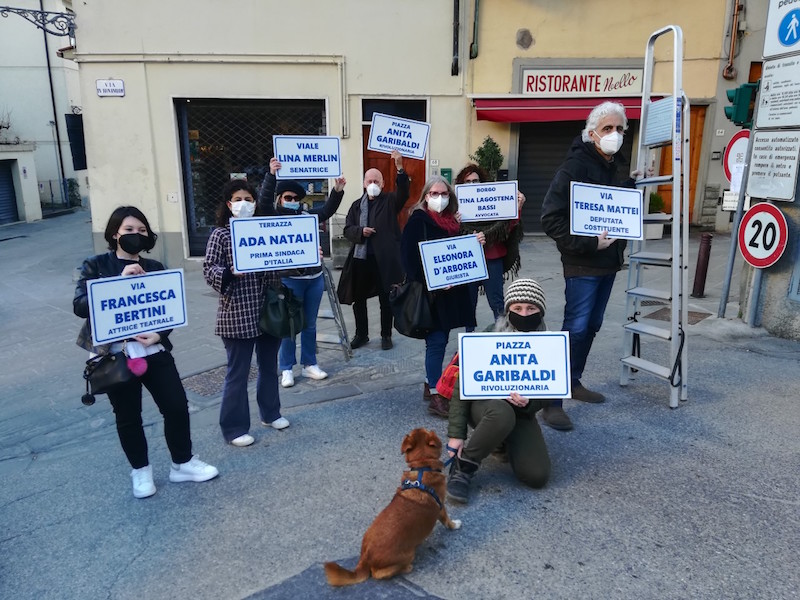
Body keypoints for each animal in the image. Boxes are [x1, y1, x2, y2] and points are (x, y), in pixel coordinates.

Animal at [324, 428, 462, 586]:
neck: (422, 467)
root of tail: (365, 557)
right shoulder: (441, 507)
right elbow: (447, 520)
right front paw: (455, 525)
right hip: (408, 554)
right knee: (378, 574)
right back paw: (407, 568)